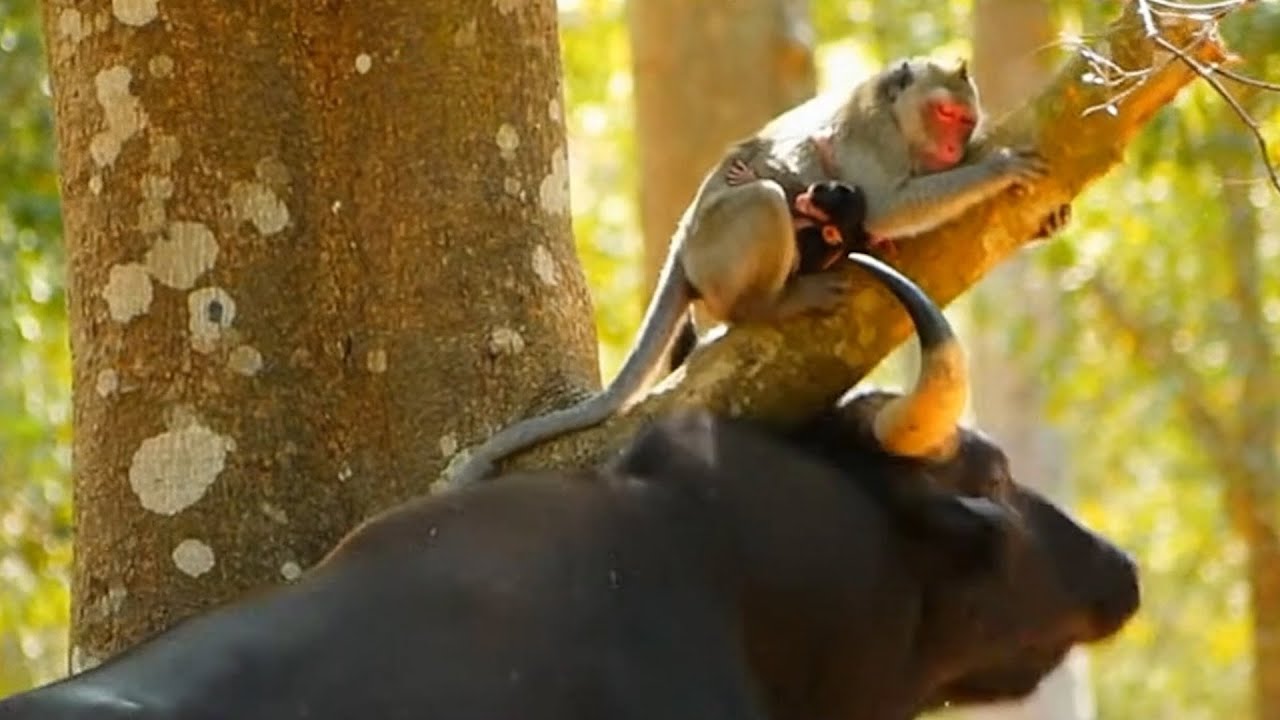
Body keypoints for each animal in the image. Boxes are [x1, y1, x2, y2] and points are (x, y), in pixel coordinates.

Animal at [448, 55, 1048, 488]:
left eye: (964, 121)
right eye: (944, 115)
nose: (952, 144)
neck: (895, 114)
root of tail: (685, 242)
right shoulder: (874, 137)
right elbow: (885, 206)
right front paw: (995, 170)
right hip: (717, 248)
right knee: (763, 202)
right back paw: (768, 302)